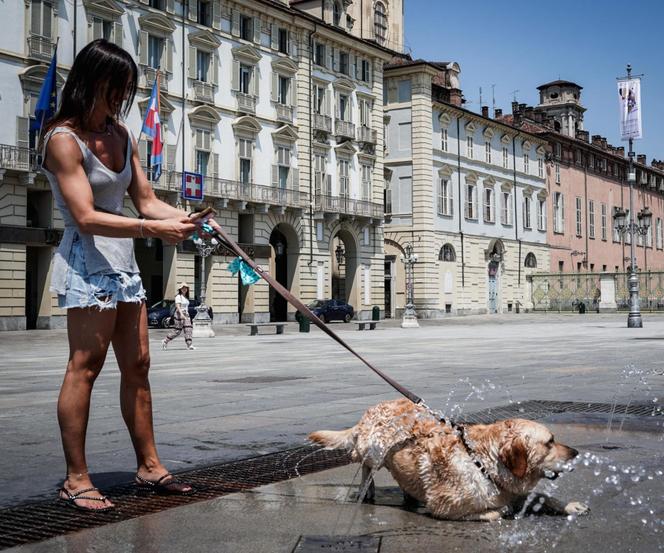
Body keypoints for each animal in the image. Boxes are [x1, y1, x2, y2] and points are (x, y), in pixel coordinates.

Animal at [308, 396, 588, 516]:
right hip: (372, 451)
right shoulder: (445, 506)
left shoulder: (511, 487)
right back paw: (368, 489)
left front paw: (570, 505)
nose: (576, 452)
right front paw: (503, 509)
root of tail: (370, 410)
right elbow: (495, 511)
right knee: (365, 467)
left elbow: (542, 496)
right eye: (549, 442)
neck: (482, 461)